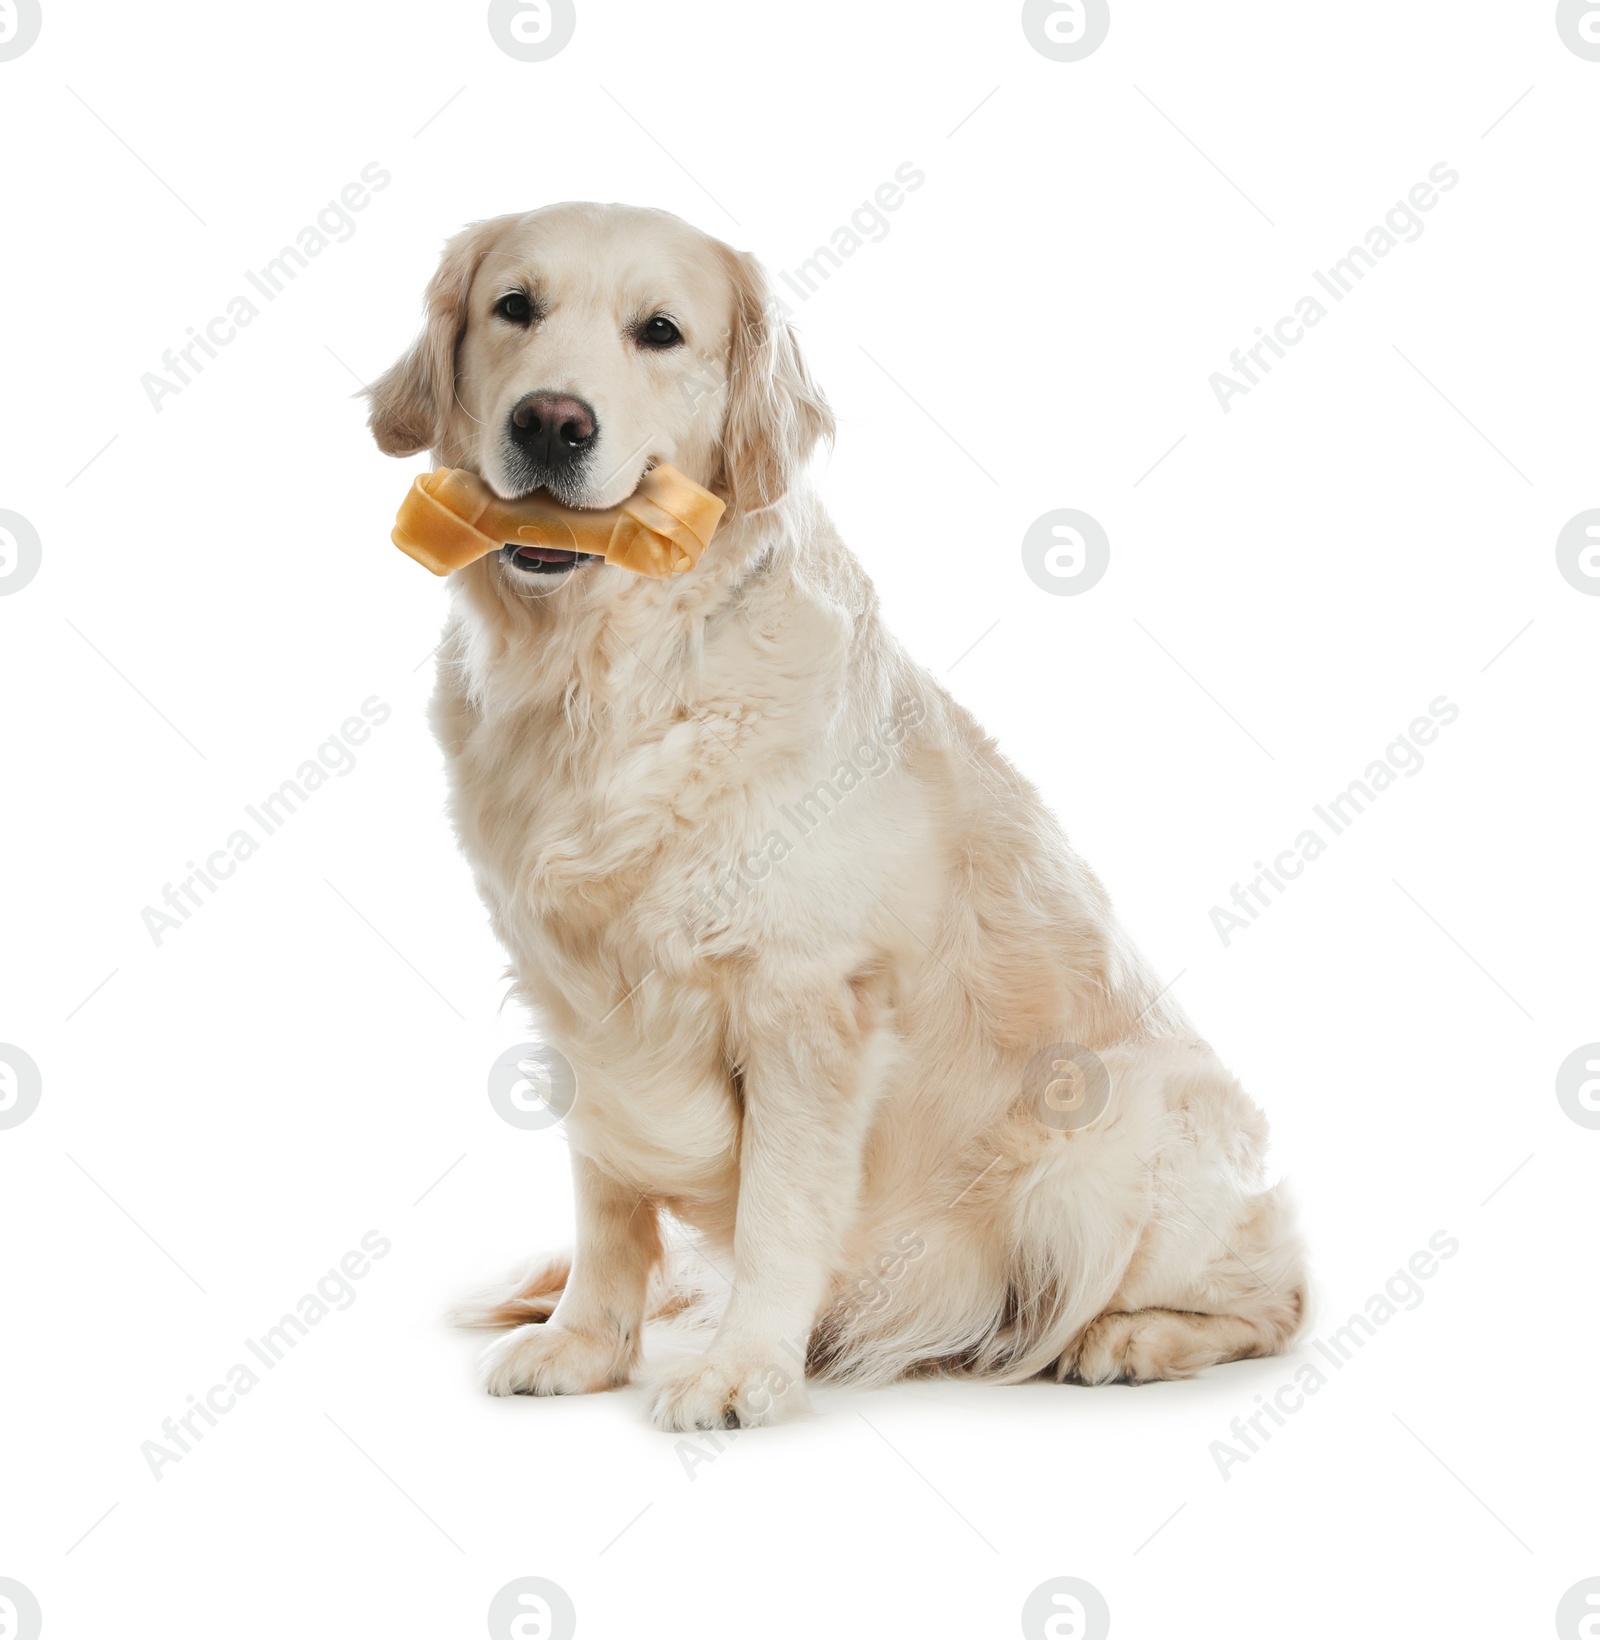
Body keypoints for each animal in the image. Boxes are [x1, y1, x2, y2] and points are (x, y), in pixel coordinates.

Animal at [368, 201, 1304, 1436]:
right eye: (512, 306)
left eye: (659, 331)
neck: (609, 680)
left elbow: (779, 1209)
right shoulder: (580, 1001)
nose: (551, 421)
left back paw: (1128, 1338)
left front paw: (739, 1370)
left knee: (1275, 1292)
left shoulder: (806, 1001)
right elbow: (607, 1202)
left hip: (1108, 1139)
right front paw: (584, 1343)